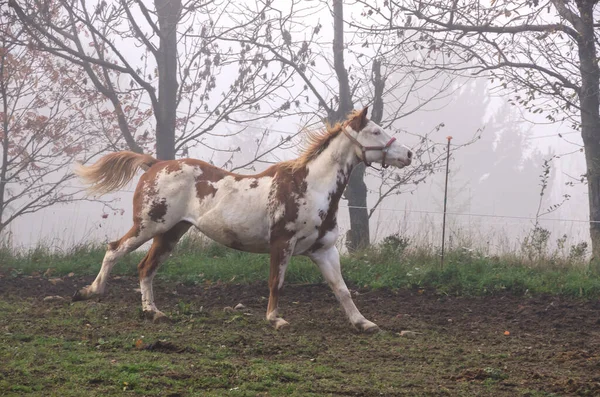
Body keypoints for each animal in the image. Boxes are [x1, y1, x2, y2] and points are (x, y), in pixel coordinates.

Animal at [72, 107, 412, 332]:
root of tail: (155, 164)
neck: (310, 187)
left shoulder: (324, 250)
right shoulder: (282, 244)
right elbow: (277, 282)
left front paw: (363, 322)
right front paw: (275, 319)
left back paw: (153, 312)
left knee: (145, 268)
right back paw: (90, 291)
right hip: (149, 226)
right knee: (115, 250)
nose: (408, 154)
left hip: (170, 233)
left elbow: (342, 289)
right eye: (375, 131)